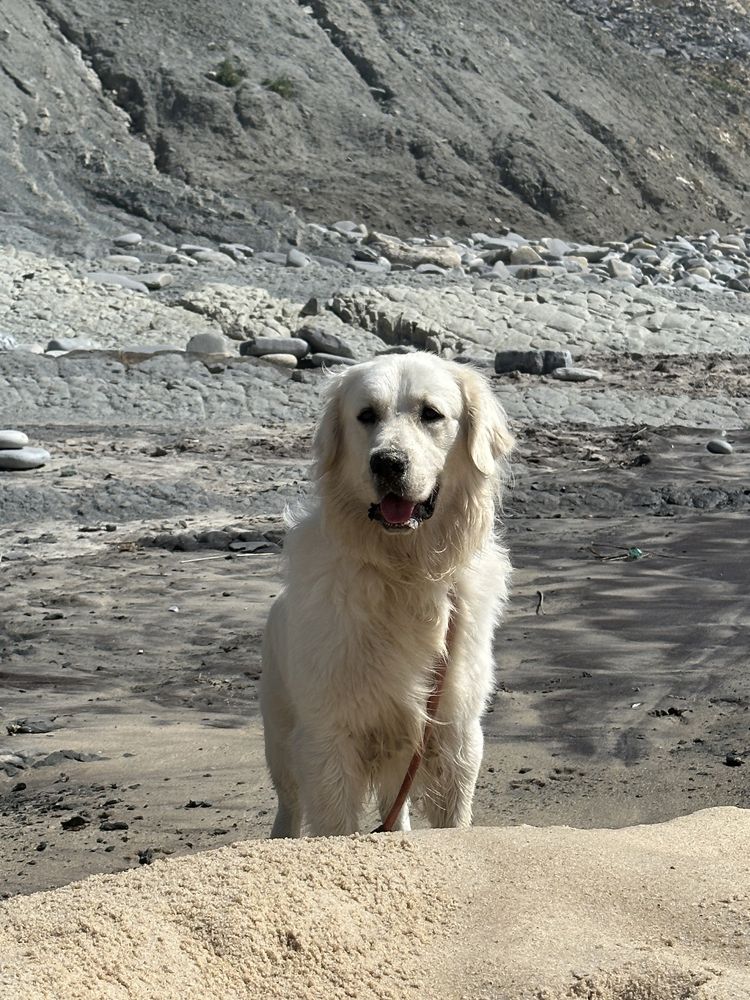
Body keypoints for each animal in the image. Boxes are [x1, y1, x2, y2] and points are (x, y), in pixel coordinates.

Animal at [262, 352, 516, 836]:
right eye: (366, 415)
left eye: (431, 414)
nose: (387, 463)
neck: (405, 571)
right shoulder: (328, 738)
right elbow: (335, 826)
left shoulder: (456, 732)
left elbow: (455, 823)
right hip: (282, 736)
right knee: (289, 806)